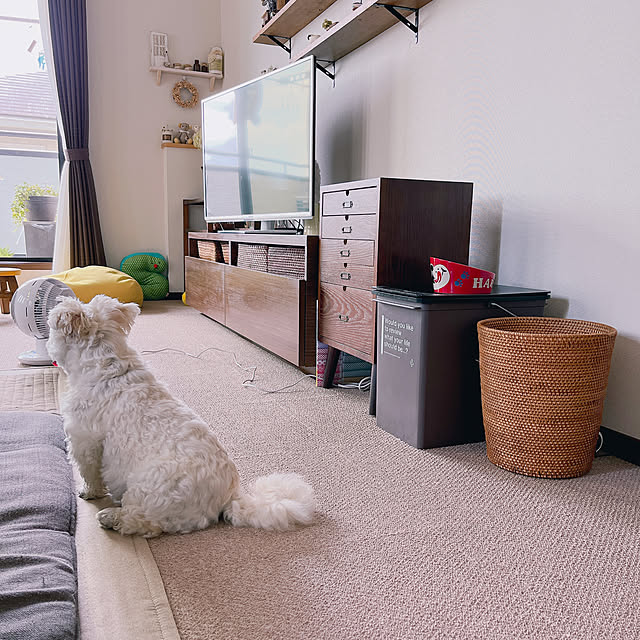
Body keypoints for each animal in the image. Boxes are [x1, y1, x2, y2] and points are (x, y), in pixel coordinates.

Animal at [46, 298, 314, 536]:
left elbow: (89, 472)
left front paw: (89, 492)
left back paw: (111, 517)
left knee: (144, 523)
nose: (48, 345)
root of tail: (228, 498)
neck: (107, 364)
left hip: (149, 487)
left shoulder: (84, 440)